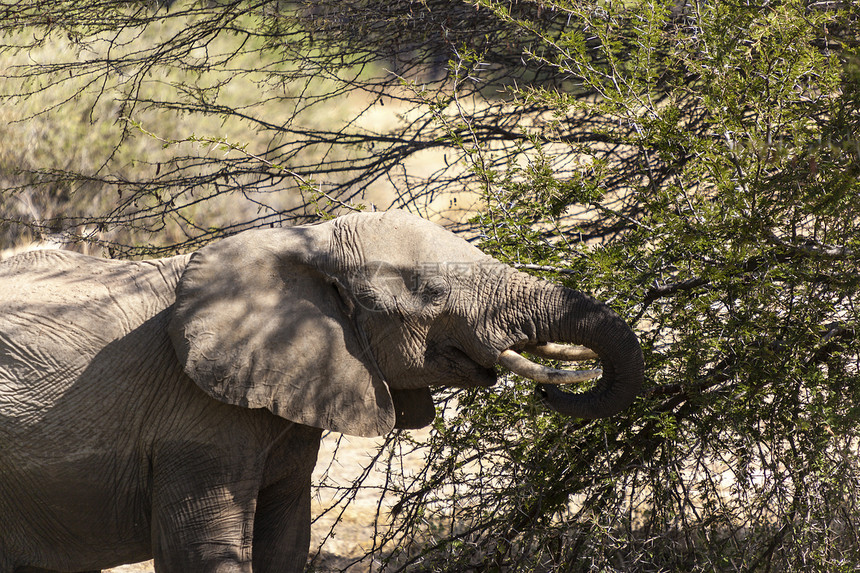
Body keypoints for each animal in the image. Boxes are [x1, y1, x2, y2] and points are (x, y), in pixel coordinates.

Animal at [0, 210, 640, 572]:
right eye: (430, 292)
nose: (554, 396)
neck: (301, 241)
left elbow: (284, 542)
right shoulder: (192, 423)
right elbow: (202, 552)